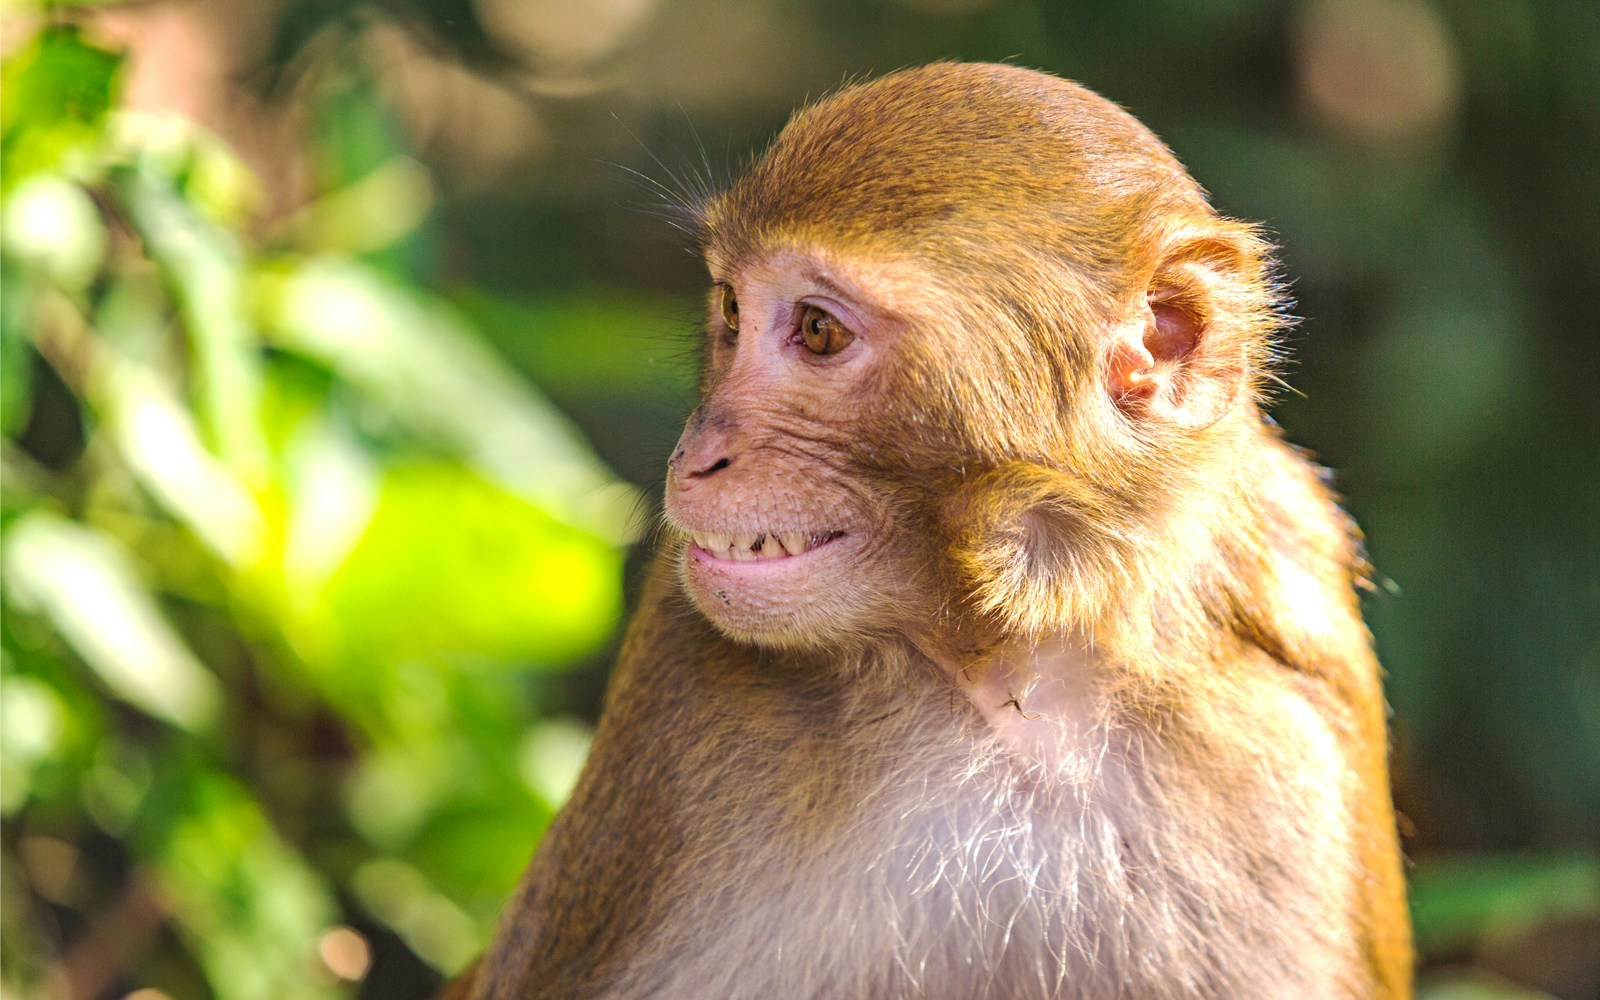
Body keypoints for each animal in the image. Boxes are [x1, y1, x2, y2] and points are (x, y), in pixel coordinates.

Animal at [460, 62, 1414, 998]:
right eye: (729, 307)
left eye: (816, 330)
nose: (694, 456)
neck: (1021, 654)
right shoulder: (678, 691)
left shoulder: (1282, 724)